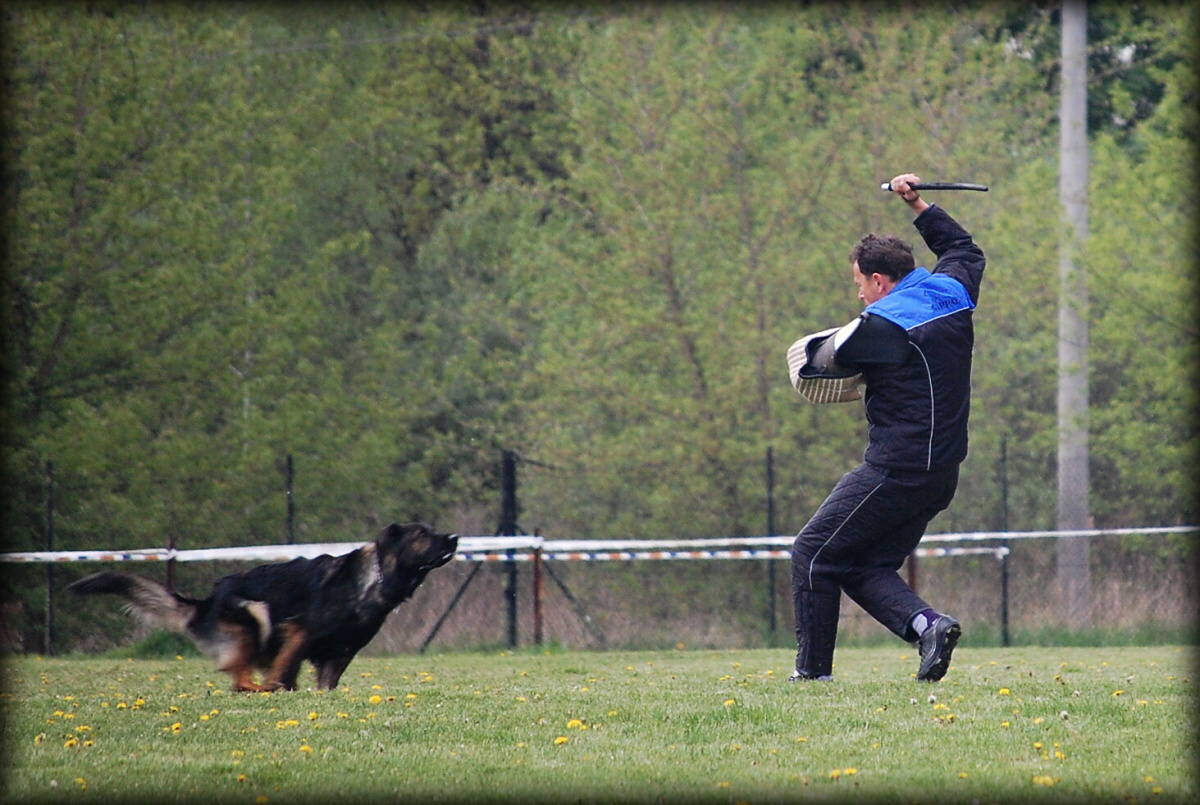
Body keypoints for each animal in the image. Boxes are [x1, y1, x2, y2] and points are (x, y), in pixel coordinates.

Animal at [66, 523, 458, 691]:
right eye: (422, 534)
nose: (454, 538)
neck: (375, 579)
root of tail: (208, 601)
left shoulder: (339, 654)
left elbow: (322, 685)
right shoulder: (299, 632)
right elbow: (284, 669)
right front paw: (277, 688)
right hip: (254, 618)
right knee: (240, 680)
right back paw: (258, 690)